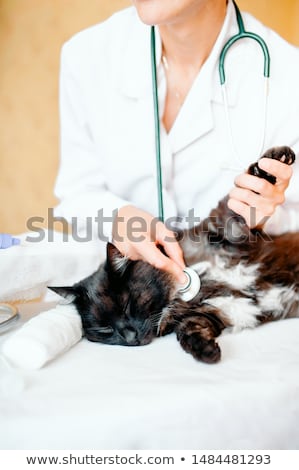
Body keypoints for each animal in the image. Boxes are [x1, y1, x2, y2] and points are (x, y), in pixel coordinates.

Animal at [49, 146, 299, 364]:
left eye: (127, 305)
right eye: (105, 329)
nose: (130, 337)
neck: (177, 294)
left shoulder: (227, 232)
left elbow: (237, 202)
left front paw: (274, 160)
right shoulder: (215, 312)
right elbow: (188, 330)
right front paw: (205, 350)